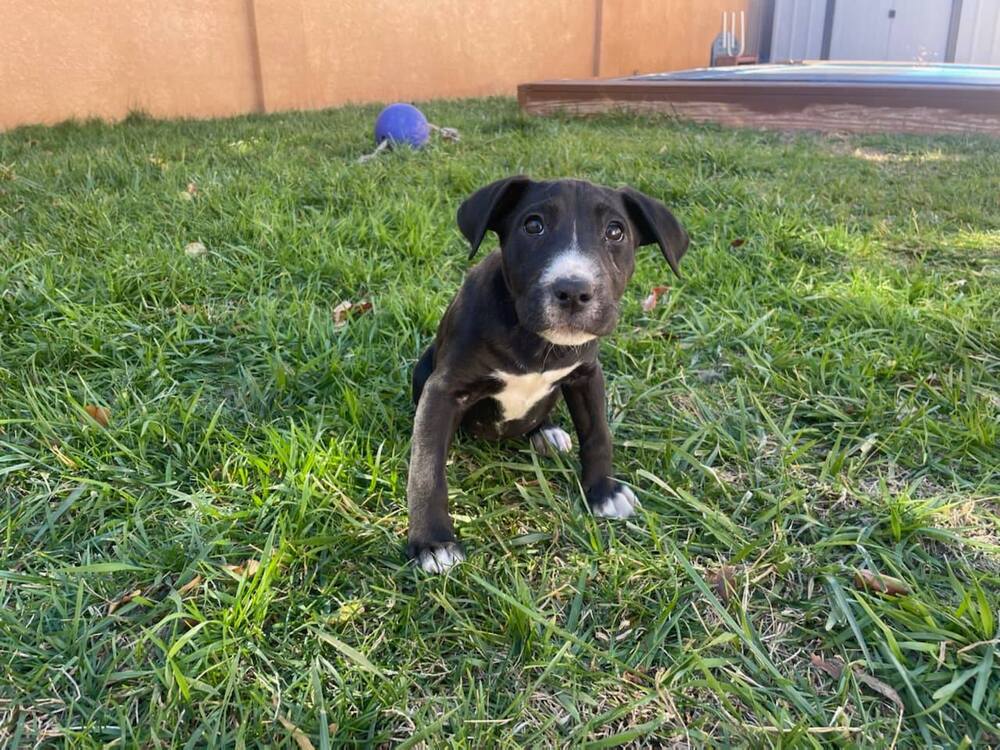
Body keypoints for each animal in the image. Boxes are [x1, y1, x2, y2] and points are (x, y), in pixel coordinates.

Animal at [406, 178, 688, 576]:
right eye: (533, 225)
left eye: (615, 231)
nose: (573, 291)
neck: (535, 342)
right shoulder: (443, 390)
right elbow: (426, 468)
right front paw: (433, 542)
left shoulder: (587, 376)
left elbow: (598, 434)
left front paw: (603, 492)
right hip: (423, 370)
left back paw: (547, 432)